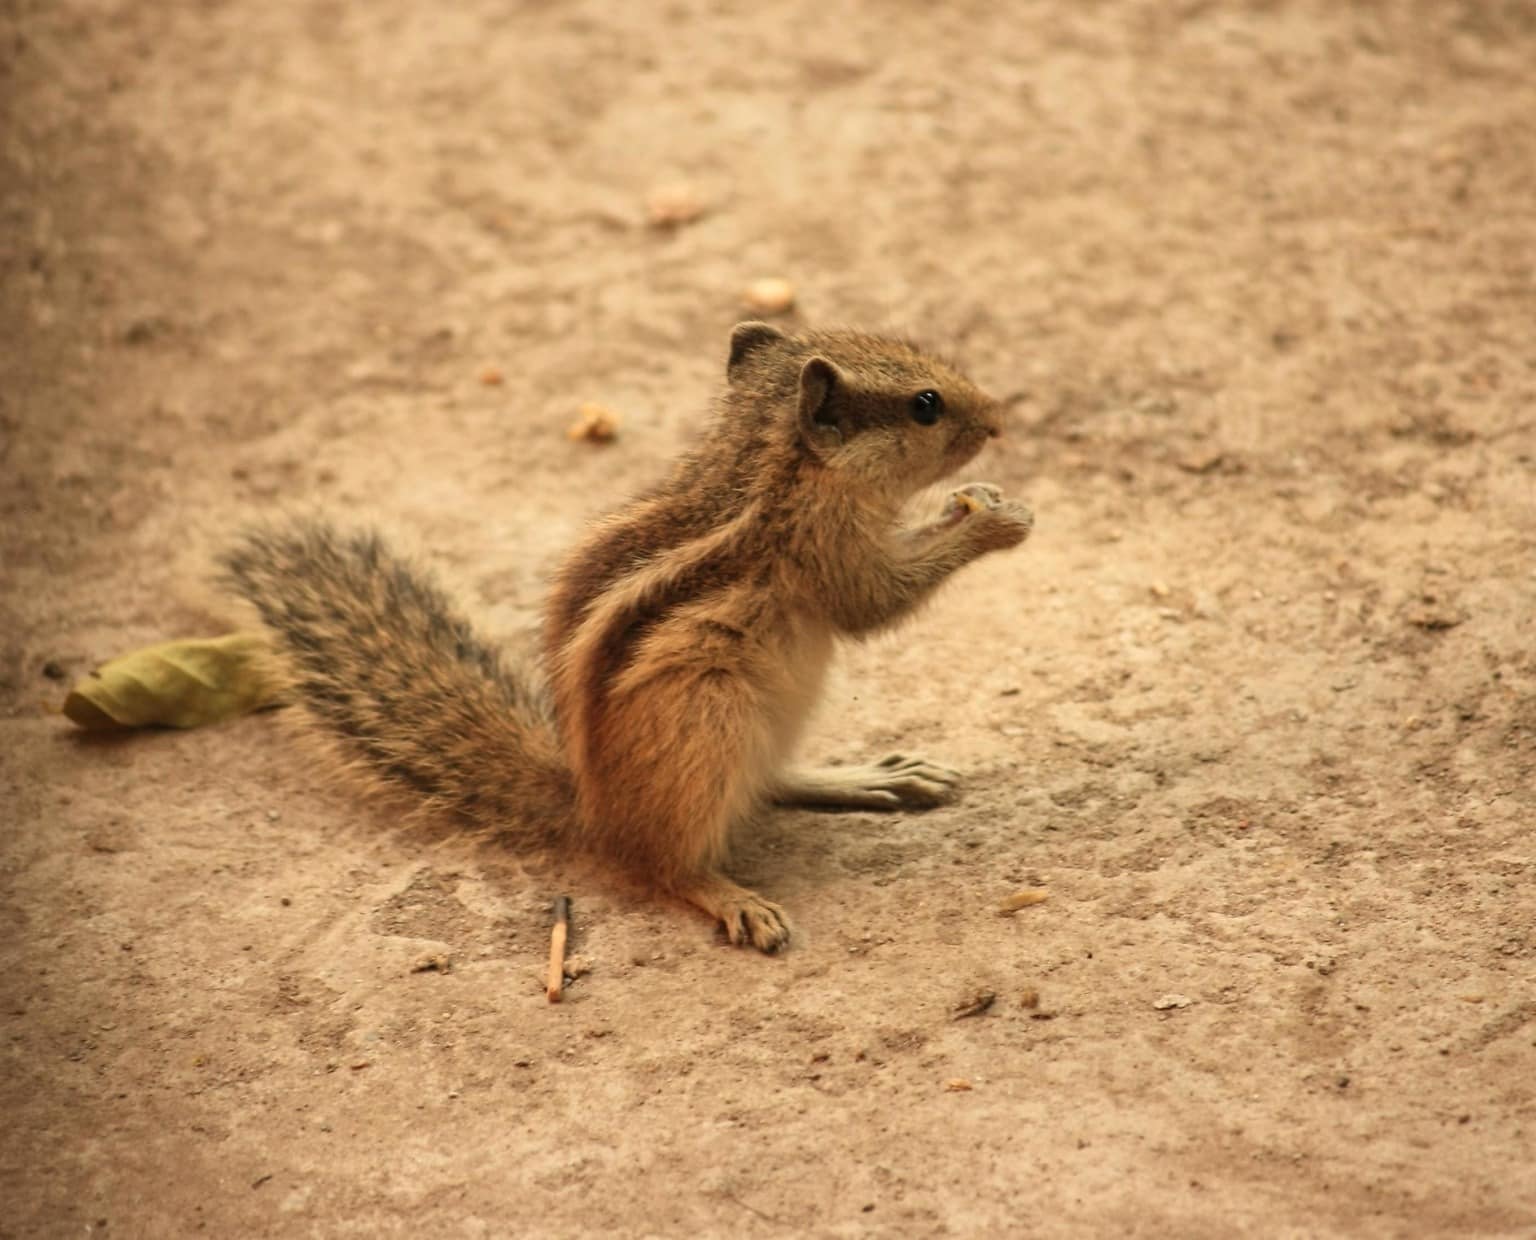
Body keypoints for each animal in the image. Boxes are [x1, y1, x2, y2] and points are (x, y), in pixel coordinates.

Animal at [222, 319, 1038, 952]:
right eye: (927, 405)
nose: (999, 421)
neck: (768, 462)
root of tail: (592, 810)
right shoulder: (824, 550)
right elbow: (876, 602)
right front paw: (994, 521)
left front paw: (983, 501)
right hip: (709, 725)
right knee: (661, 865)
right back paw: (730, 895)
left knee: (768, 784)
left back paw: (867, 776)